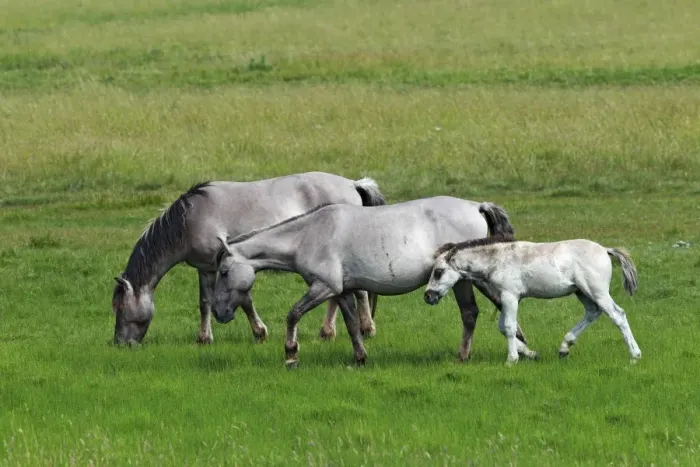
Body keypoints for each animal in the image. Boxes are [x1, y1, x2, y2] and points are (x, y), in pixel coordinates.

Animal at [112, 172, 386, 345]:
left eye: (120, 308)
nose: (119, 343)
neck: (189, 220)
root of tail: (353, 184)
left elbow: (244, 301)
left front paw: (260, 333)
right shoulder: (206, 268)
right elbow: (205, 302)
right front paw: (204, 338)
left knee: (359, 293)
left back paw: (364, 329)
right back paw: (330, 331)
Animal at [211, 196, 529, 367]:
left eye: (224, 271)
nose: (218, 312)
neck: (308, 235)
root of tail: (476, 206)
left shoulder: (323, 287)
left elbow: (293, 314)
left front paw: (291, 353)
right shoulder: (341, 291)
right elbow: (353, 324)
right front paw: (361, 357)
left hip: (465, 280)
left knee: (480, 311)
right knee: (484, 310)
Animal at [423, 234, 642, 365]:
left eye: (439, 272)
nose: (428, 296)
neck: (498, 259)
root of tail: (605, 249)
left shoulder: (510, 296)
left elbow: (509, 327)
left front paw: (511, 360)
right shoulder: (507, 299)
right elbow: (504, 327)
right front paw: (530, 353)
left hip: (597, 292)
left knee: (618, 315)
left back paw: (635, 356)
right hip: (582, 292)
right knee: (592, 313)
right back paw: (564, 348)